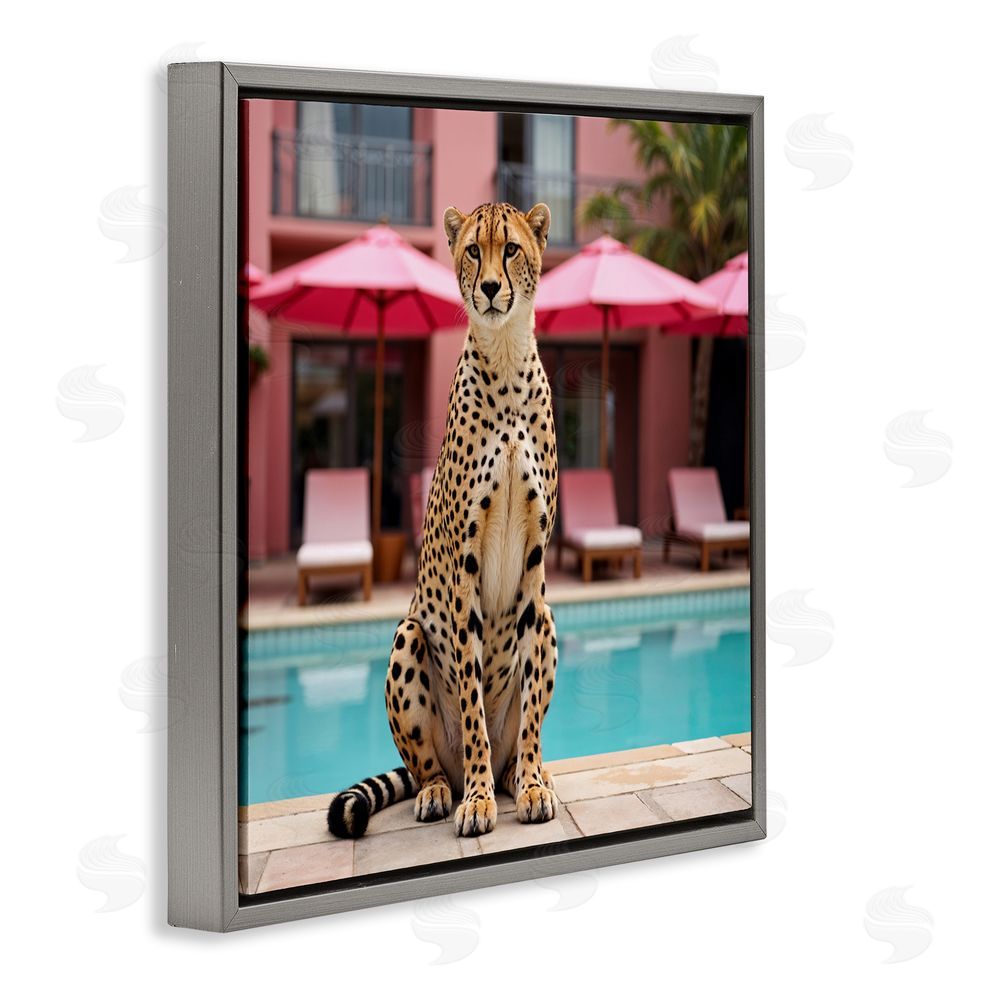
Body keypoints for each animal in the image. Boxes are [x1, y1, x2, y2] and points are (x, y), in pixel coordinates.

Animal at [327, 201, 559, 839]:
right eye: (473, 251)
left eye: (510, 249)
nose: (490, 288)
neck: (505, 358)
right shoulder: (464, 567)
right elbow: (473, 704)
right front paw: (477, 801)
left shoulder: (536, 569)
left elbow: (530, 707)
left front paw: (532, 784)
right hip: (408, 634)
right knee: (429, 765)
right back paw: (444, 789)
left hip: (551, 620)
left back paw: (521, 774)